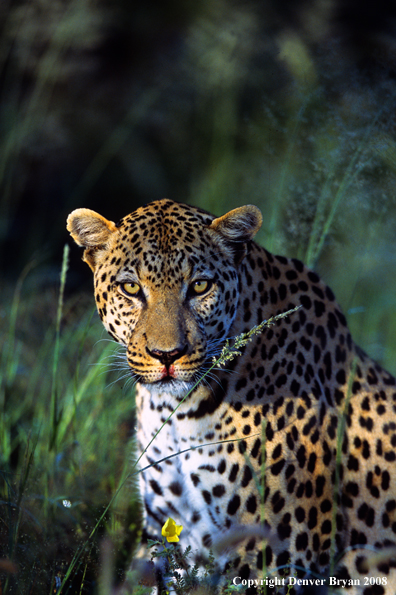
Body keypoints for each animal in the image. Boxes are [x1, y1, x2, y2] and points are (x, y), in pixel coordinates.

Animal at [66, 200, 396, 595]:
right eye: (130, 288)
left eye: (200, 286)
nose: (166, 355)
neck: (176, 412)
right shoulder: (169, 531)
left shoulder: (276, 555)